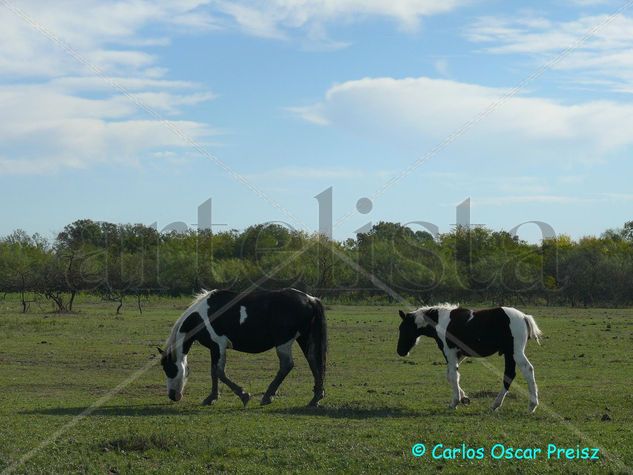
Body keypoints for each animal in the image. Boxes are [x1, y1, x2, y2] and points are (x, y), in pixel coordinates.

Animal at [158, 288, 328, 408]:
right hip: (304, 338)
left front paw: (244, 395)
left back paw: (267, 397)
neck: (201, 317)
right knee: (314, 362)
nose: (172, 396)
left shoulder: (219, 345)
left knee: (287, 365)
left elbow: (219, 372)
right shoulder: (214, 348)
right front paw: (212, 398)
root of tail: (310, 299)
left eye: (168, 368)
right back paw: (315, 399)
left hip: (283, 342)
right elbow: (214, 372)